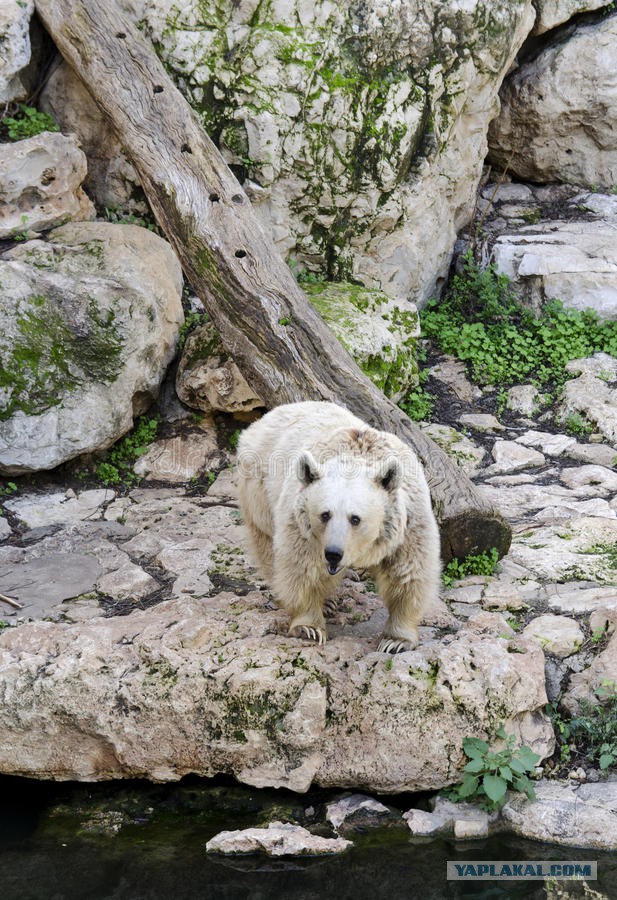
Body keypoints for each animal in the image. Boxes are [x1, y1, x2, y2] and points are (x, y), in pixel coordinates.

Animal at [237, 401, 441, 653]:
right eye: (325, 515)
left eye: (355, 518)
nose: (333, 553)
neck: (357, 455)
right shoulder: (302, 526)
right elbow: (302, 569)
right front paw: (309, 629)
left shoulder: (408, 525)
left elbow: (407, 574)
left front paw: (395, 641)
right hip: (259, 489)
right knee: (267, 546)